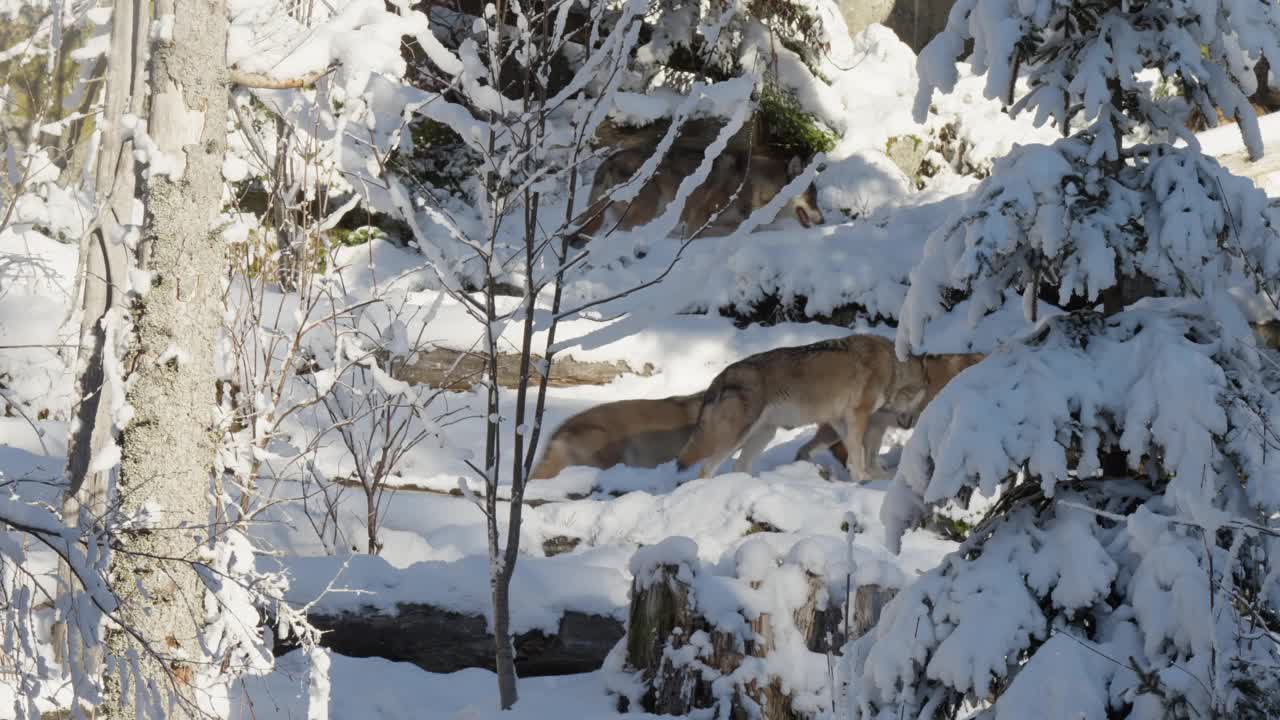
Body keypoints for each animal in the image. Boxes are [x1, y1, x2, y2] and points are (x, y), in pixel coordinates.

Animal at [675, 335, 983, 481]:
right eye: (925, 393)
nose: (909, 423)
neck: (893, 368)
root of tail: (719, 377)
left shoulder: (839, 421)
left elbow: (857, 454)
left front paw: (863, 477)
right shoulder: (858, 416)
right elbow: (860, 453)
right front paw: (863, 478)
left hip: (763, 435)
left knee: (739, 467)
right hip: (736, 438)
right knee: (706, 470)